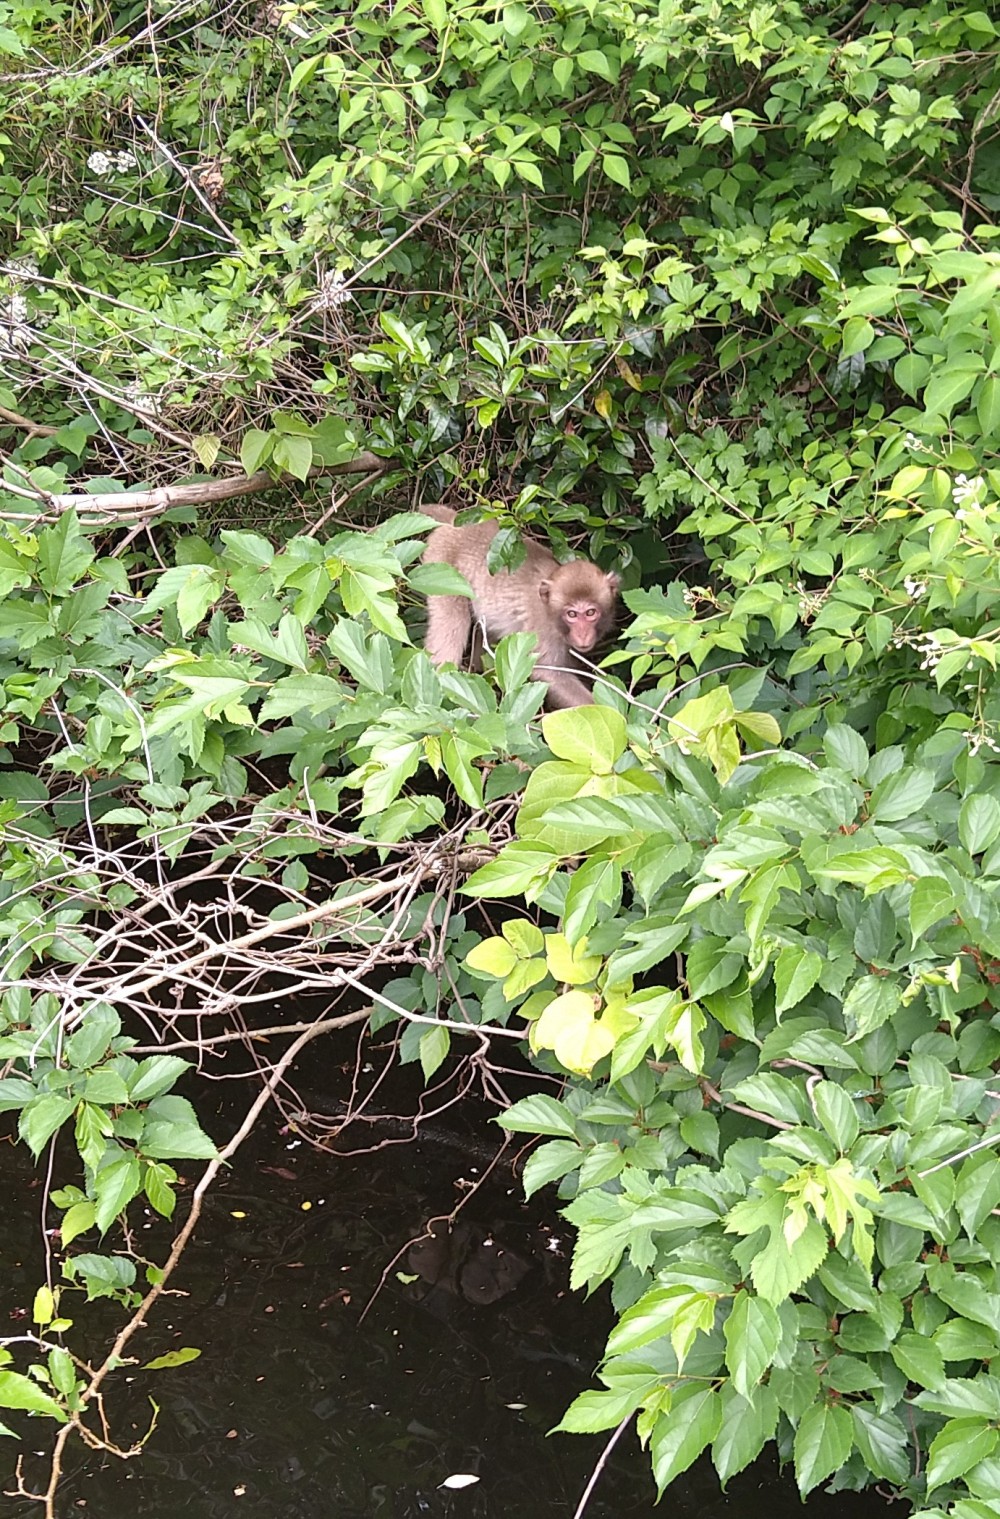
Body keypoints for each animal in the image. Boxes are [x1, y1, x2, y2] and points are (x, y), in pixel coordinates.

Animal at [419, 504, 620, 704]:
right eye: (572, 614)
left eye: (591, 612)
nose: (583, 635)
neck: (549, 609)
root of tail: (453, 519)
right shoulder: (543, 630)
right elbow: (548, 673)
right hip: (443, 569)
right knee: (452, 624)